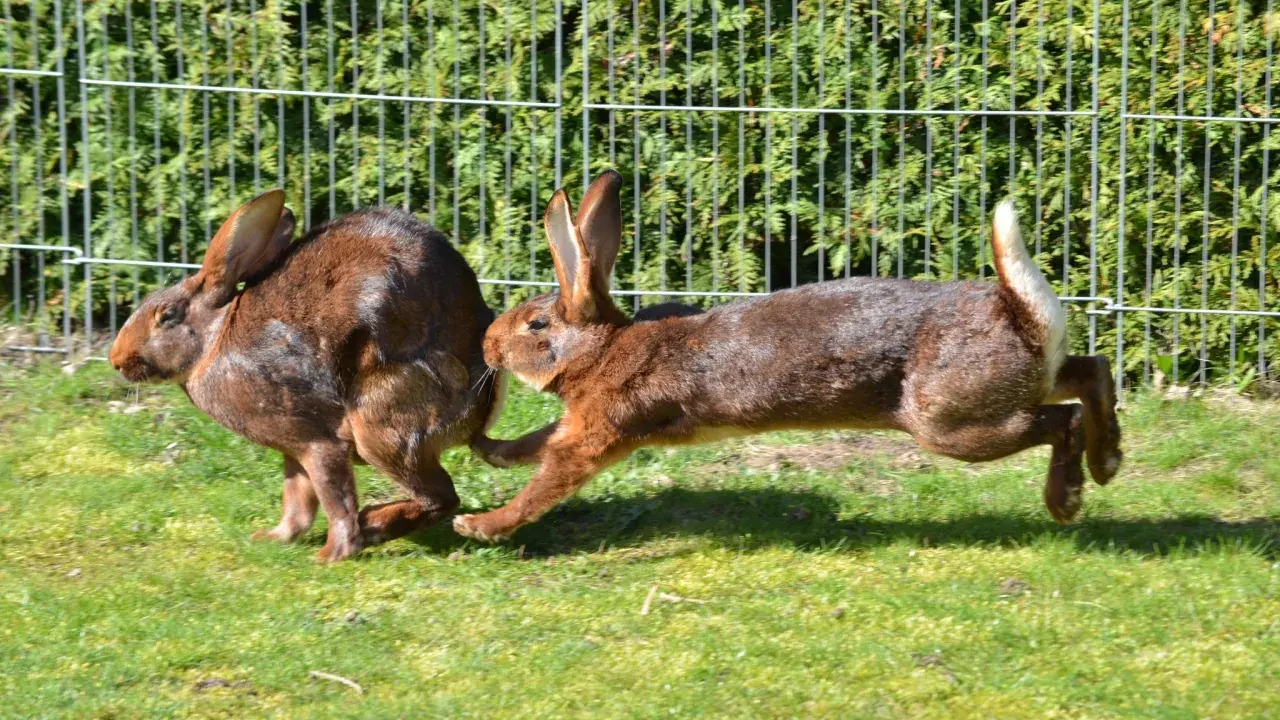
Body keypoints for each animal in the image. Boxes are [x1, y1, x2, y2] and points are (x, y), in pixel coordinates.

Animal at [109, 190, 505, 561]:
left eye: (167, 315)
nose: (116, 359)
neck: (213, 341)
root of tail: (480, 405)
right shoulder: (292, 446)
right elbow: (297, 503)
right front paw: (273, 538)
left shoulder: (319, 442)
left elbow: (335, 501)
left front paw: (332, 555)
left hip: (382, 423)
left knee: (440, 497)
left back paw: (372, 524)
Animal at [456, 170, 1122, 542]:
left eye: (537, 324)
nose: (486, 342)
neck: (602, 349)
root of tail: (1020, 313)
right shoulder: (576, 422)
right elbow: (534, 443)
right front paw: (488, 449)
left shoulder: (599, 431)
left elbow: (549, 479)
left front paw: (480, 526)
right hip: (1021, 380)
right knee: (1090, 372)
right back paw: (1106, 462)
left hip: (951, 422)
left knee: (1061, 418)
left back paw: (1067, 498)